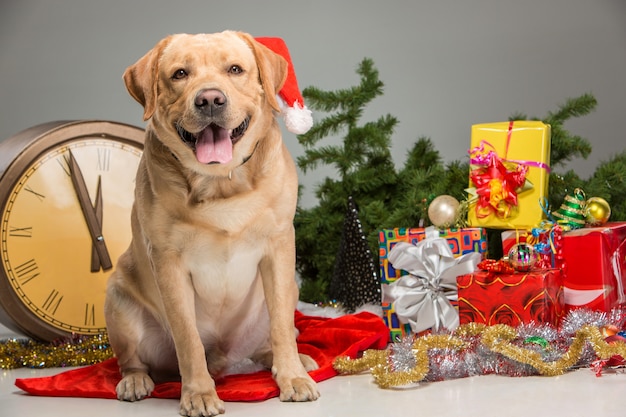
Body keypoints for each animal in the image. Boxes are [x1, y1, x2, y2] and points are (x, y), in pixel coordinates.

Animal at [103, 30, 316, 414]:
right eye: (179, 74)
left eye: (235, 69)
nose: (210, 100)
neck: (221, 183)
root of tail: (224, 358)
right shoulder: (168, 262)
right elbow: (188, 339)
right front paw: (199, 393)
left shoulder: (279, 245)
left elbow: (280, 324)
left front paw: (292, 377)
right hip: (118, 301)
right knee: (133, 360)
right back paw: (135, 380)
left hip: (289, 291)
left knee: (276, 336)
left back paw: (295, 360)